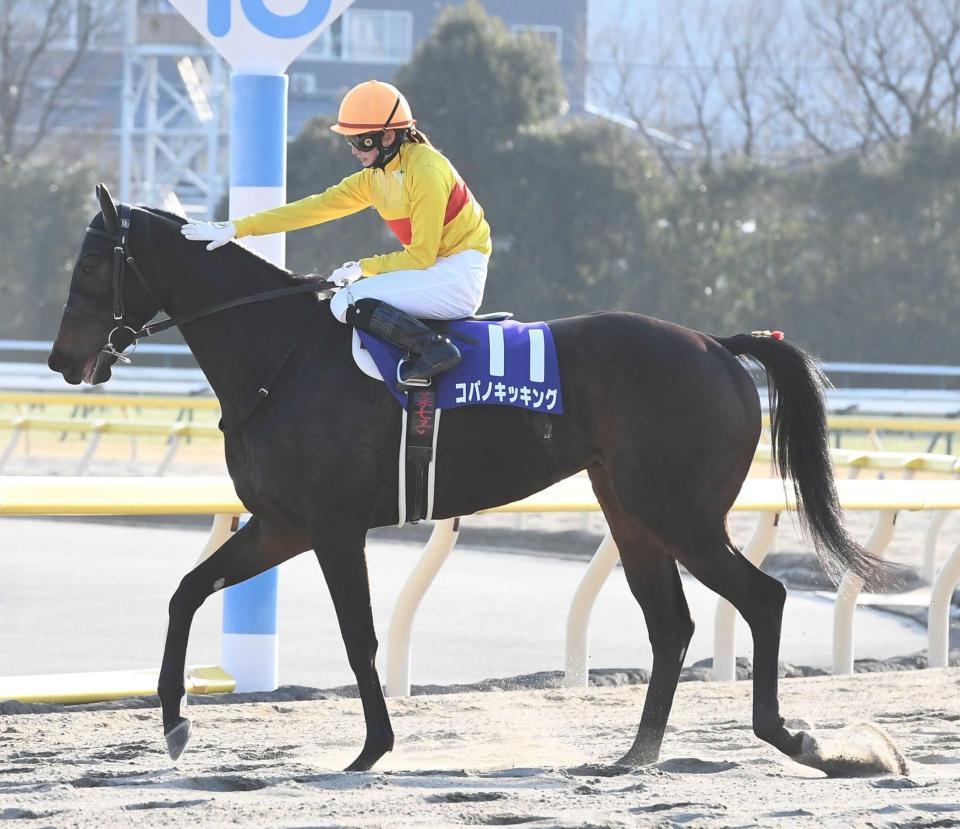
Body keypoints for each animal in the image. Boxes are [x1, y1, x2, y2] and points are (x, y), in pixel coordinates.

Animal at [45, 184, 904, 772]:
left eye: (89, 262)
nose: (61, 360)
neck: (280, 355)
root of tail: (718, 344)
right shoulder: (282, 523)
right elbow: (186, 591)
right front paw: (173, 721)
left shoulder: (331, 527)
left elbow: (359, 636)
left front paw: (372, 747)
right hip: (631, 511)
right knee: (672, 625)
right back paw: (636, 753)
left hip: (681, 511)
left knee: (762, 597)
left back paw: (794, 736)